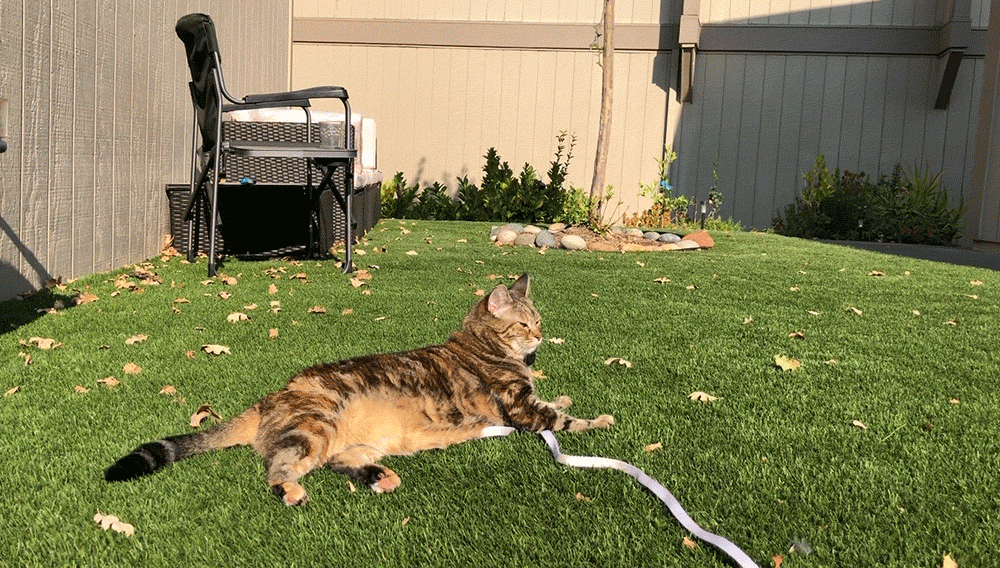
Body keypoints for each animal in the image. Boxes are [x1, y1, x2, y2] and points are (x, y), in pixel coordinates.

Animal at [105, 273, 614, 505]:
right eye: (525, 324)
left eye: (538, 320)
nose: (541, 334)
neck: (483, 346)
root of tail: (272, 397)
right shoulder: (520, 408)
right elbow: (563, 419)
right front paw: (599, 420)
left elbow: (555, 402)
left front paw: (565, 394)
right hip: (315, 427)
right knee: (279, 466)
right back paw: (291, 490)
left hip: (357, 438)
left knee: (337, 461)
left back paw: (378, 476)